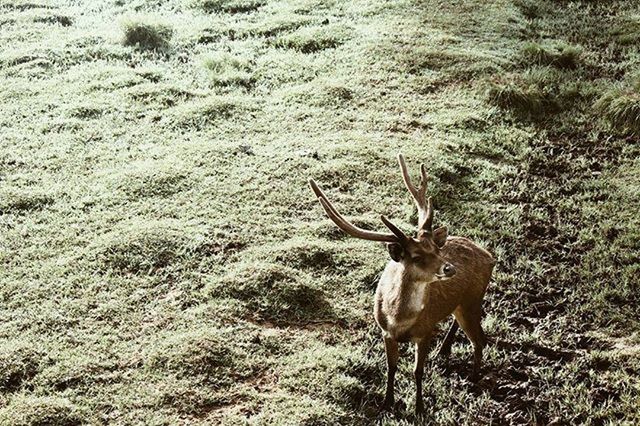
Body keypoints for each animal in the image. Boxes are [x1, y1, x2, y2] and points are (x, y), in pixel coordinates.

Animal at [308, 154, 496, 416]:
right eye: (416, 257)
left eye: (437, 250)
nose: (449, 268)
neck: (399, 320)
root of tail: (490, 257)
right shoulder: (385, 332)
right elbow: (391, 368)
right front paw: (387, 403)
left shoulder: (426, 330)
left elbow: (418, 372)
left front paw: (419, 408)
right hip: (463, 303)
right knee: (463, 327)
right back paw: (444, 351)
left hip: (473, 298)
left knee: (479, 340)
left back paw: (474, 379)